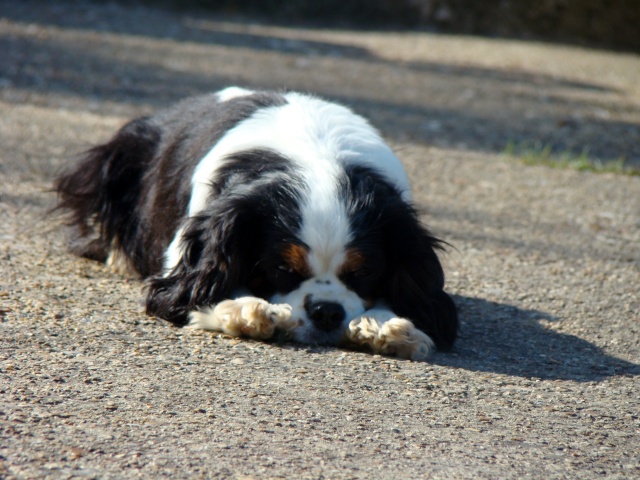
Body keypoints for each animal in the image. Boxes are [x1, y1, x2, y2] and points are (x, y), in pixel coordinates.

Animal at [53, 88, 456, 360]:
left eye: (363, 273)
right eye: (282, 269)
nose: (327, 311)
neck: (317, 159)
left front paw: (385, 323)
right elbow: (204, 280)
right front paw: (243, 308)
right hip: (118, 156)